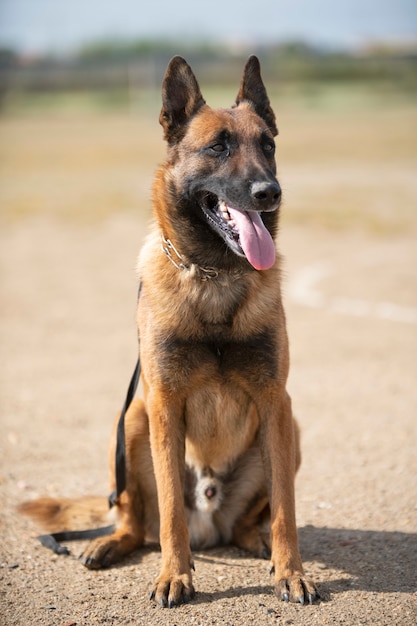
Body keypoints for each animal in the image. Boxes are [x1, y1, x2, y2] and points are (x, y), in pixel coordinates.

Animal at [18, 54, 318, 604]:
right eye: (218, 146)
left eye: (268, 145)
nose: (269, 193)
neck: (214, 275)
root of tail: (211, 523)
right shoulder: (162, 401)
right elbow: (171, 512)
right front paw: (174, 575)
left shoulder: (275, 400)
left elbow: (286, 509)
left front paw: (291, 572)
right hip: (131, 423)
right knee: (137, 520)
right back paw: (111, 543)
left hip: (290, 431)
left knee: (250, 522)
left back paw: (259, 544)